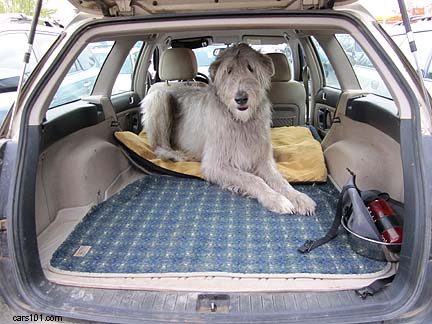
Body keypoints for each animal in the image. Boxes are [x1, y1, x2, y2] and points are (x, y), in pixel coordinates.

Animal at [143, 43, 316, 215]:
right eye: (228, 70)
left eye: (251, 68)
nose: (241, 98)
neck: (241, 121)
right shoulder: (216, 164)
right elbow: (253, 179)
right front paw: (277, 199)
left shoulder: (263, 159)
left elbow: (278, 179)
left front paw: (298, 197)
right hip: (158, 98)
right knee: (159, 146)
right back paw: (176, 155)